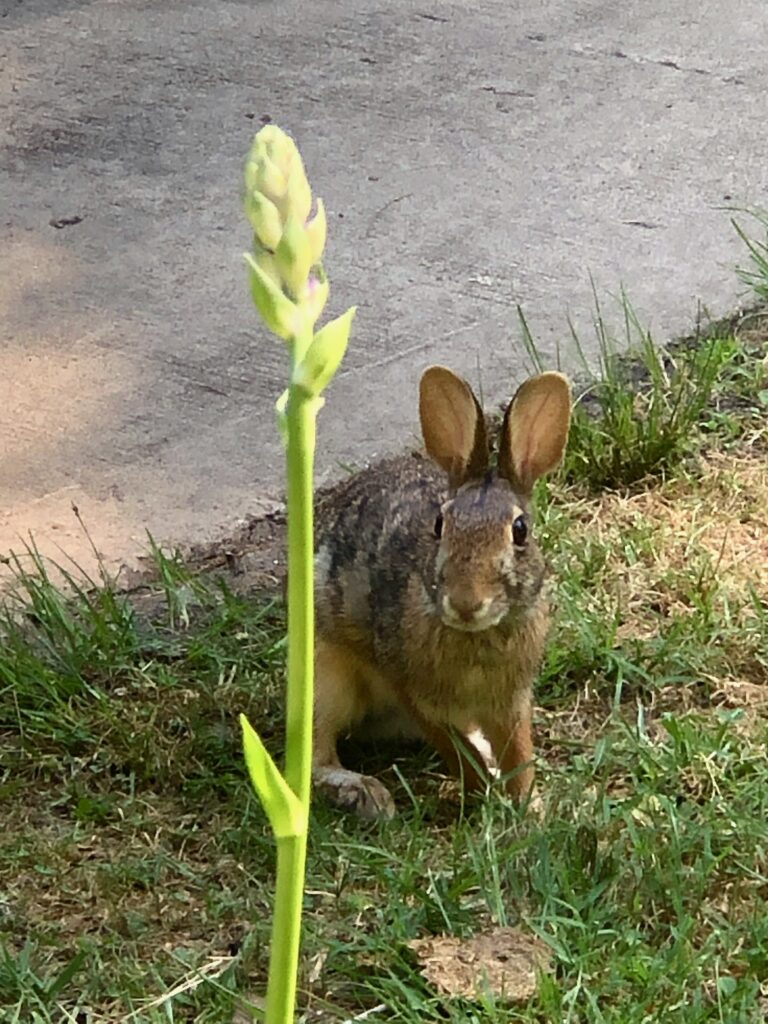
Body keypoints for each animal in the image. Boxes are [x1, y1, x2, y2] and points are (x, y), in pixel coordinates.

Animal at [311, 364, 573, 819]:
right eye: (439, 525)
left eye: (520, 531)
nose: (466, 603)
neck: (476, 636)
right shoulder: (413, 692)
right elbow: (455, 750)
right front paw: (481, 795)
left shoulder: (511, 700)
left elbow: (517, 751)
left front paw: (526, 805)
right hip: (325, 675)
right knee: (315, 755)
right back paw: (366, 795)